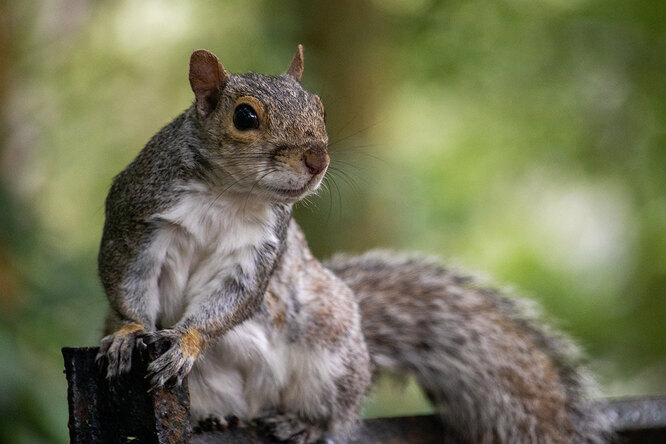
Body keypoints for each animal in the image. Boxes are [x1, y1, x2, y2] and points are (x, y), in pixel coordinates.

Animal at [96, 46, 608, 444]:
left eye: (320, 107)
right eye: (244, 116)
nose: (317, 158)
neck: (230, 194)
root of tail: (256, 401)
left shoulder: (260, 251)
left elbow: (236, 300)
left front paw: (186, 340)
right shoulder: (137, 218)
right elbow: (126, 281)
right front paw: (128, 332)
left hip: (332, 353)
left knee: (337, 417)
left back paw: (303, 424)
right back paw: (213, 419)